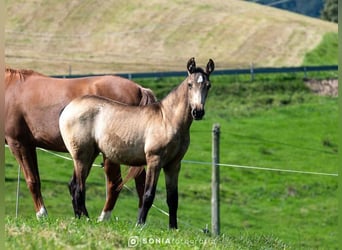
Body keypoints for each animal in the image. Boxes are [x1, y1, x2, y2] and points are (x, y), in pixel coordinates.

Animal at [4, 68, 156, 219]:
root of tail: (139, 89)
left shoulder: (18, 143)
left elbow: (32, 180)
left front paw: (42, 215)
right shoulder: (30, 146)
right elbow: (36, 178)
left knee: (114, 184)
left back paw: (103, 218)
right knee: (140, 183)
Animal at [58, 57, 214, 229]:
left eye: (208, 85)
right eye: (190, 84)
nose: (198, 112)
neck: (168, 119)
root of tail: (68, 108)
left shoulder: (174, 164)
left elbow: (173, 199)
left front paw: (173, 228)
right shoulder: (154, 160)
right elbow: (148, 194)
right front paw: (140, 224)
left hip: (88, 156)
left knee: (73, 185)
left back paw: (80, 218)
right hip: (81, 156)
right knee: (79, 188)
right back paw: (86, 219)